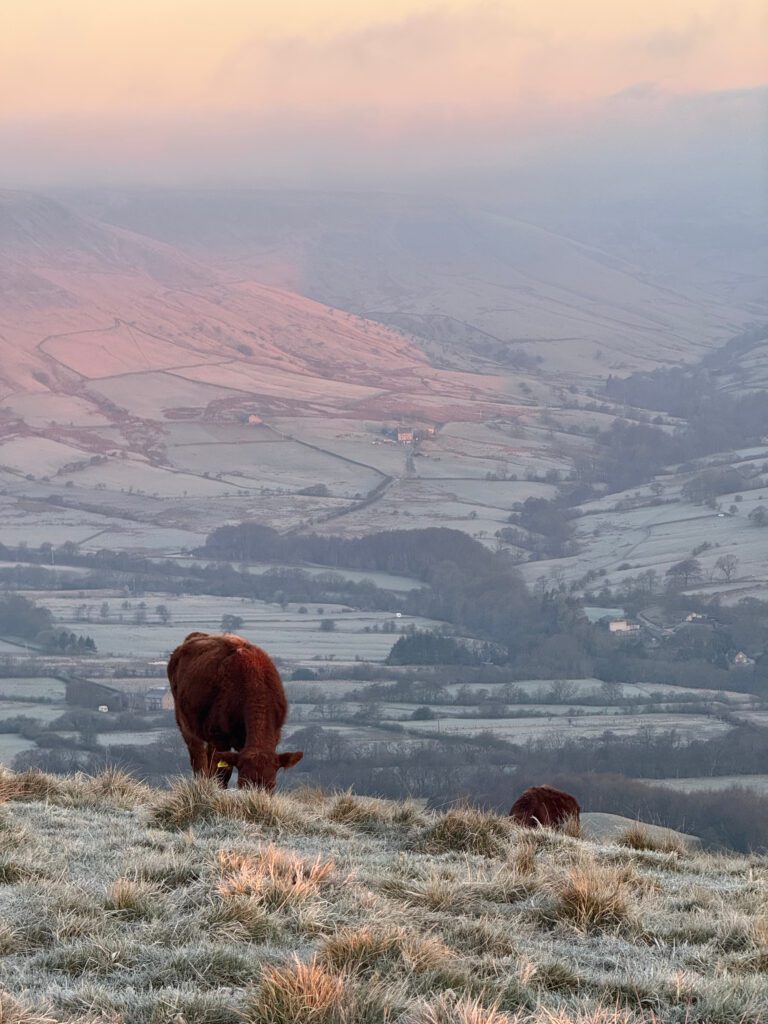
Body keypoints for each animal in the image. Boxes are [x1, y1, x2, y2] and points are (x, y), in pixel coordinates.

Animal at [167, 631, 303, 790]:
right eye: (242, 783)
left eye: (272, 785)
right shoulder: (219, 738)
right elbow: (221, 775)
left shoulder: (274, 736)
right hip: (186, 725)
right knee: (199, 759)